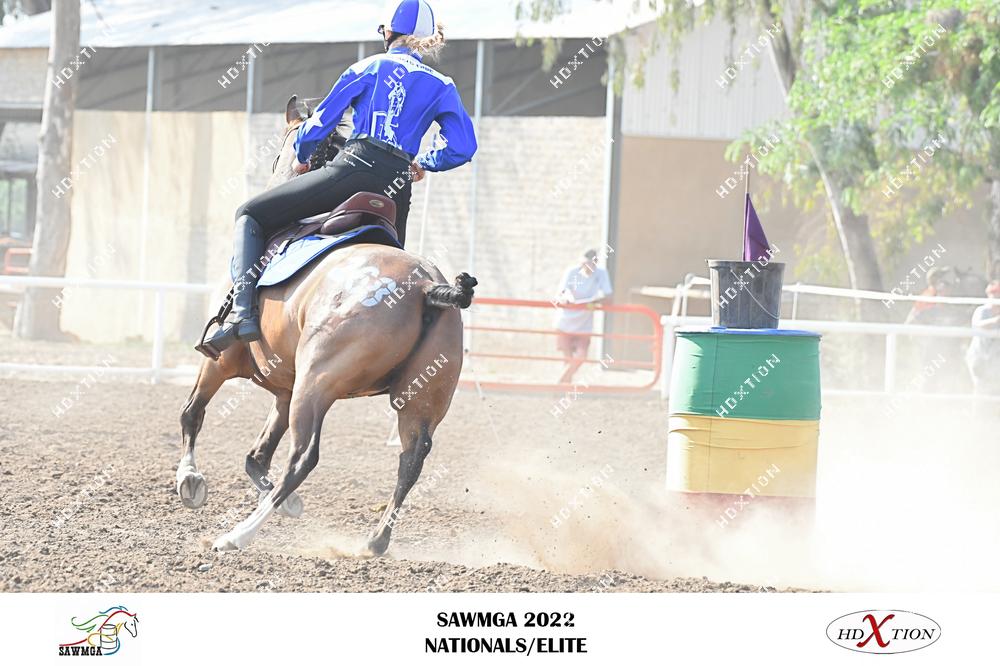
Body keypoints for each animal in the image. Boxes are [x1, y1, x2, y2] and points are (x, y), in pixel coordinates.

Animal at [175, 95, 476, 555]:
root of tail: (426, 285)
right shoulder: (284, 388)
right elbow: (256, 456)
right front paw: (280, 499)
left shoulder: (220, 361)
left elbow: (193, 413)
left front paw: (190, 479)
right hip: (419, 401)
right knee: (410, 462)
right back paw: (376, 540)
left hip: (317, 384)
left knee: (303, 457)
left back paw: (239, 534)